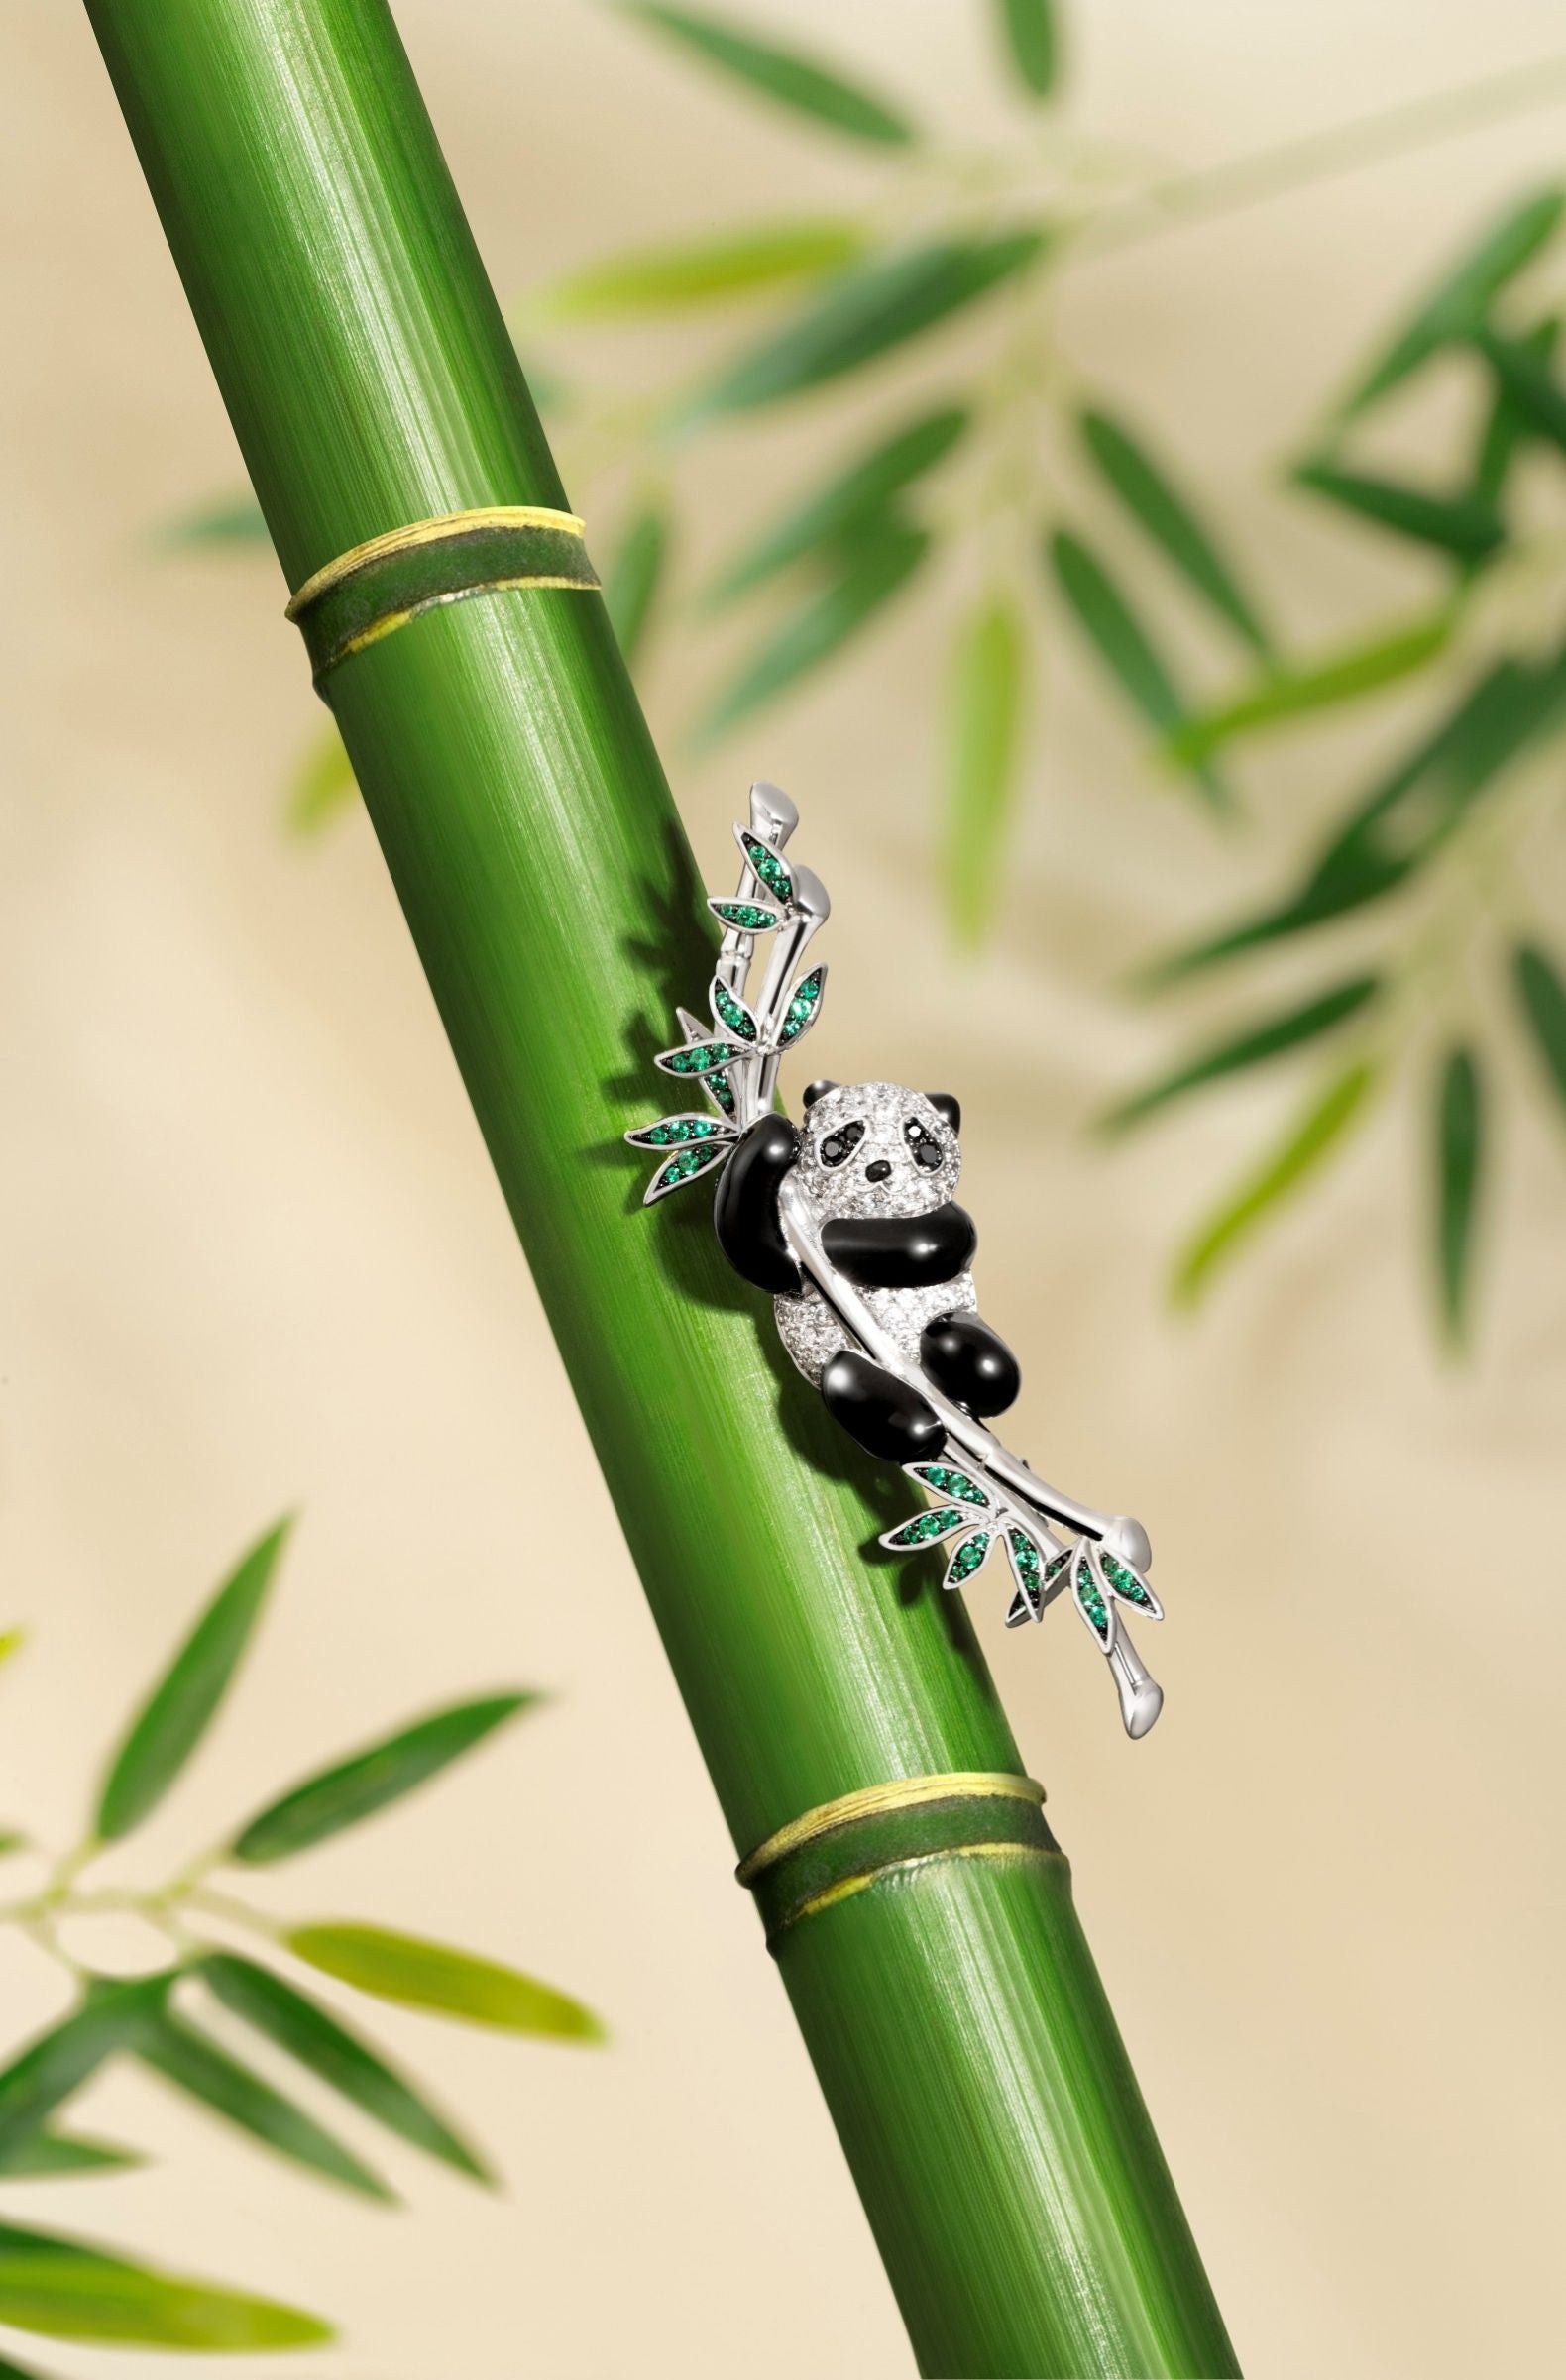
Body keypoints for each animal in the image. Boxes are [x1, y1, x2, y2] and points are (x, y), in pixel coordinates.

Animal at [713, 1078, 1021, 1464]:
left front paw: (832, 1236)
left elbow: (936, 1240)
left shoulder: (944, 1224)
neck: (867, 1212)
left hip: (954, 1325)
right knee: (856, 1388)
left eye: (923, 1145)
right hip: (842, 1364)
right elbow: (760, 1255)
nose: (879, 1170)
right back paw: (920, 1430)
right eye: (845, 1137)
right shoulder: (784, 1253)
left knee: (979, 1357)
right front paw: (774, 1134)